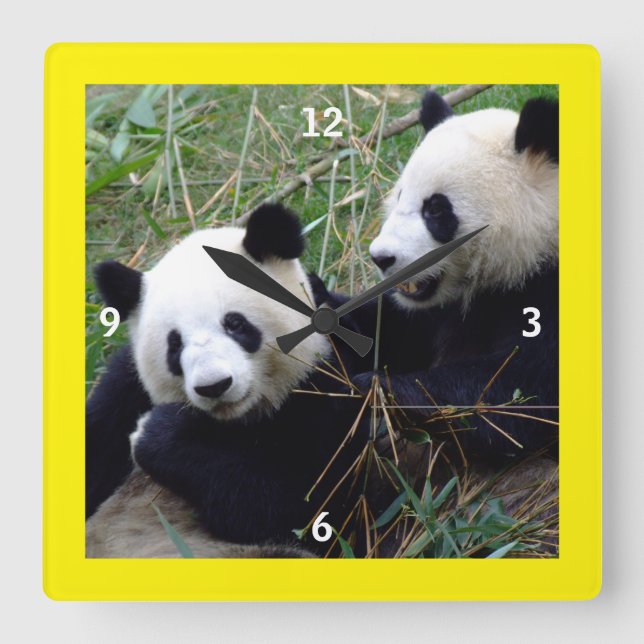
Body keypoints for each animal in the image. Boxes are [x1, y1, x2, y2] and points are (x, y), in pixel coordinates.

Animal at [86, 204, 368, 558]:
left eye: (235, 324)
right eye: (174, 344)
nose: (214, 385)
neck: (235, 421)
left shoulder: (326, 385)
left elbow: (310, 507)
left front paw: (158, 432)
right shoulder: (123, 393)